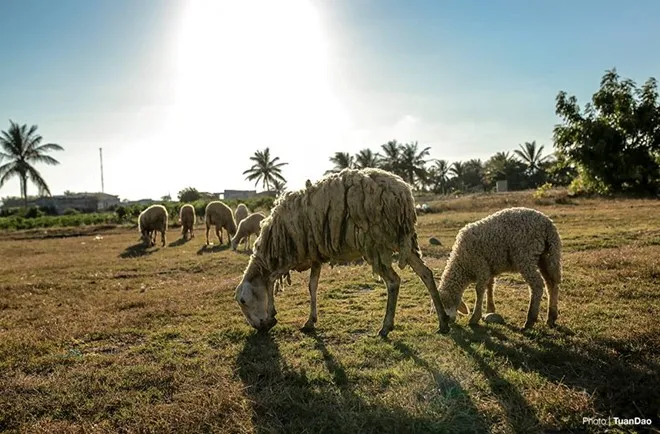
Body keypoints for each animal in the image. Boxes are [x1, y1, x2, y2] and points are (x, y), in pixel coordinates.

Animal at [233, 168, 448, 338]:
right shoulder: (314, 255)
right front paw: (310, 321)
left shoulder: (289, 256)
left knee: (394, 281)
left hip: (375, 243)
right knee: (426, 273)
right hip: (401, 240)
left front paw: (272, 314)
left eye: (243, 301)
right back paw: (443, 321)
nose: (259, 328)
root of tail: (404, 193)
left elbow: (270, 281)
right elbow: (312, 286)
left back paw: (386, 327)